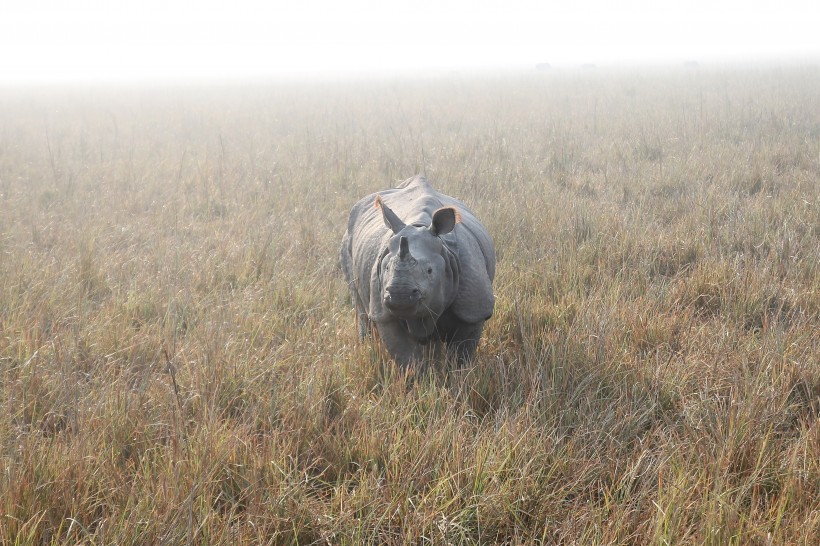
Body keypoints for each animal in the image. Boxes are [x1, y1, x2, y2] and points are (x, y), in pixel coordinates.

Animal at [338, 174, 494, 366]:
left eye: (429, 271)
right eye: (386, 267)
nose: (399, 294)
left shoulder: (473, 309)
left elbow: (461, 353)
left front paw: (457, 372)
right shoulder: (383, 313)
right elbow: (407, 356)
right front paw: (417, 374)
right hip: (347, 241)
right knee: (361, 309)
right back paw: (366, 348)